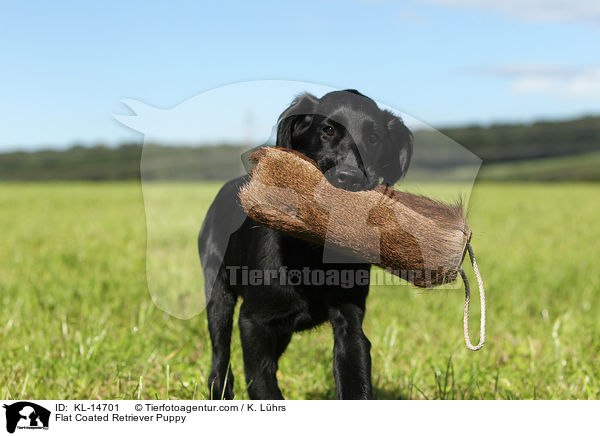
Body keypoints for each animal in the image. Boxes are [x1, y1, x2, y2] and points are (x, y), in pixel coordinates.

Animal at [197, 88, 412, 398]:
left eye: (374, 138)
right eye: (328, 129)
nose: (349, 178)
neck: (312, 252)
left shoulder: (350, 323)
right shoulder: (253, 322)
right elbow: (262, 385)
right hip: (219, 294)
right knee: (219, 358)